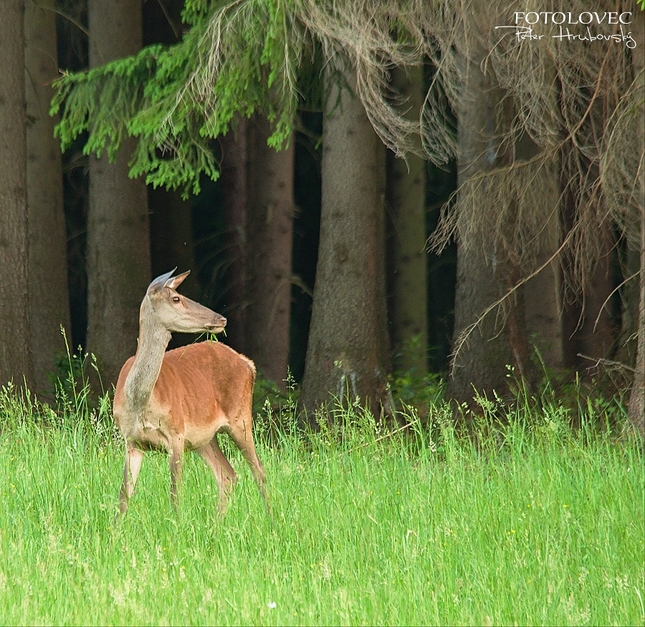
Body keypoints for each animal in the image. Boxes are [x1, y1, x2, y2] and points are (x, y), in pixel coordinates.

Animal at [113, 268, 266, 516]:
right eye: (176, 298)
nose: (221, 319)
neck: (139, 402)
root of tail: (248, 363)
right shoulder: (131, 441)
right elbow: (123, 499)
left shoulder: (176, 433)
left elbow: (175, 496)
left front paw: (176, 523)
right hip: (205, 438)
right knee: (227, 475)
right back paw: (216, 523)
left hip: (241, 419)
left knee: (259, 472)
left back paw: (272, 520)